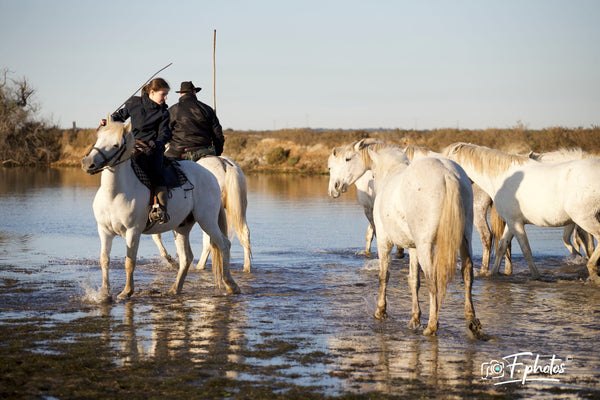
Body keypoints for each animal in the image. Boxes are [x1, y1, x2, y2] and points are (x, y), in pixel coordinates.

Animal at [81, 119, 240, 300]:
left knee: (223, 244)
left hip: (207, 221)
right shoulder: (104, 231)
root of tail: (210, 175)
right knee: (186, 257)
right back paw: (175, 289)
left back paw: (231, 285)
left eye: (116, 145)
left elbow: (130, 261)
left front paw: (126, 292)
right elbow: (104, 260)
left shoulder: (133, 231)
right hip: (182, 227)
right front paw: (105, 294)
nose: (88, 163)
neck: (115, 194)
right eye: (98, 139)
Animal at [326, 141, 486, 338]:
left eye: (347, 159)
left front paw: (381, 311)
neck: (390, 171)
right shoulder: (413, 248)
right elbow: (413, 281)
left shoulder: (384, 241)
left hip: (426, 247)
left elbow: (384, 276)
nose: (335, 187)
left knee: (432, 281)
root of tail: (447, 175)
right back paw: (471, 320)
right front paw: (414, 318)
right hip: (464, 239)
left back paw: (431, 326)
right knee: (467, 273)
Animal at [440, 141, 600, 284]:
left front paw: (536, 276)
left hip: (584, 219)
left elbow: (526, 250)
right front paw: (493, 273)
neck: (501, 178)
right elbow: (502, 246)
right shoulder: (511, 222)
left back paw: (592, 269)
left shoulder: (516, 223)